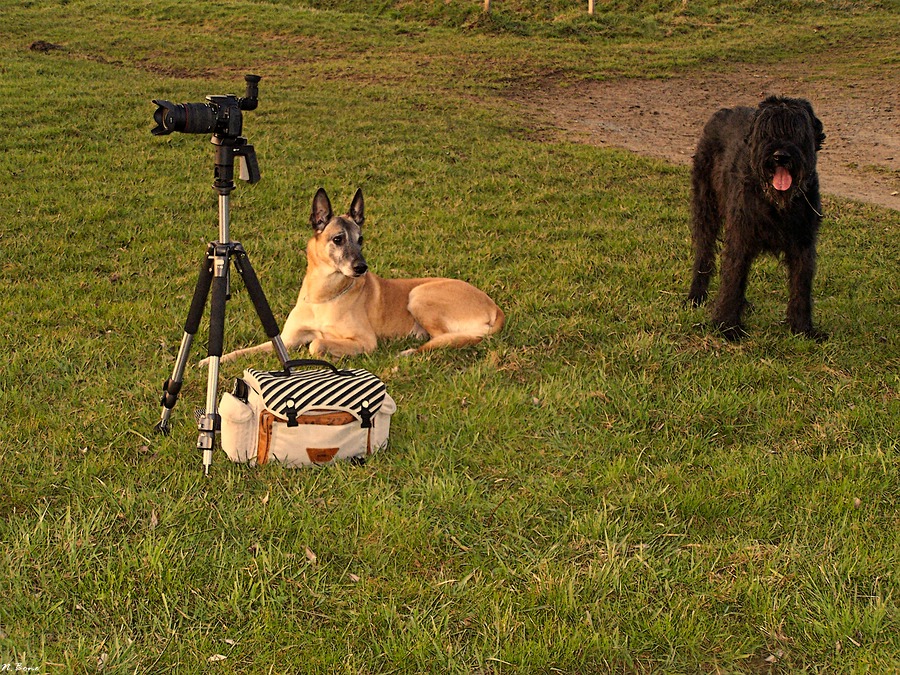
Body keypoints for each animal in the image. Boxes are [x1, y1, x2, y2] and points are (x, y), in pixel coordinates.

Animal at [215, 187, 502, 362]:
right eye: (338, 239)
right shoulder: (285, 339)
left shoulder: (365, 341)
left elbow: (316, 343)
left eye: (361, 239)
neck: (323, 296)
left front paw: (327, 348)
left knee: (442, 339)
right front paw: (212, 360)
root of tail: (495, 308)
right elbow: (243, 351)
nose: (362, 268)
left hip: (419, 294)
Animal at [688, 95, 828, 340]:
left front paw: (802, 328)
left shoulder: (804, 244)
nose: (780, 156)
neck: (776, 204)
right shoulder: (740, 236)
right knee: (704, 253)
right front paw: (728, 327)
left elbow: (801, 286)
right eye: (766, 131)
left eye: (798, 130)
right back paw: (696, 295)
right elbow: (733, 278)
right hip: (706, 209)